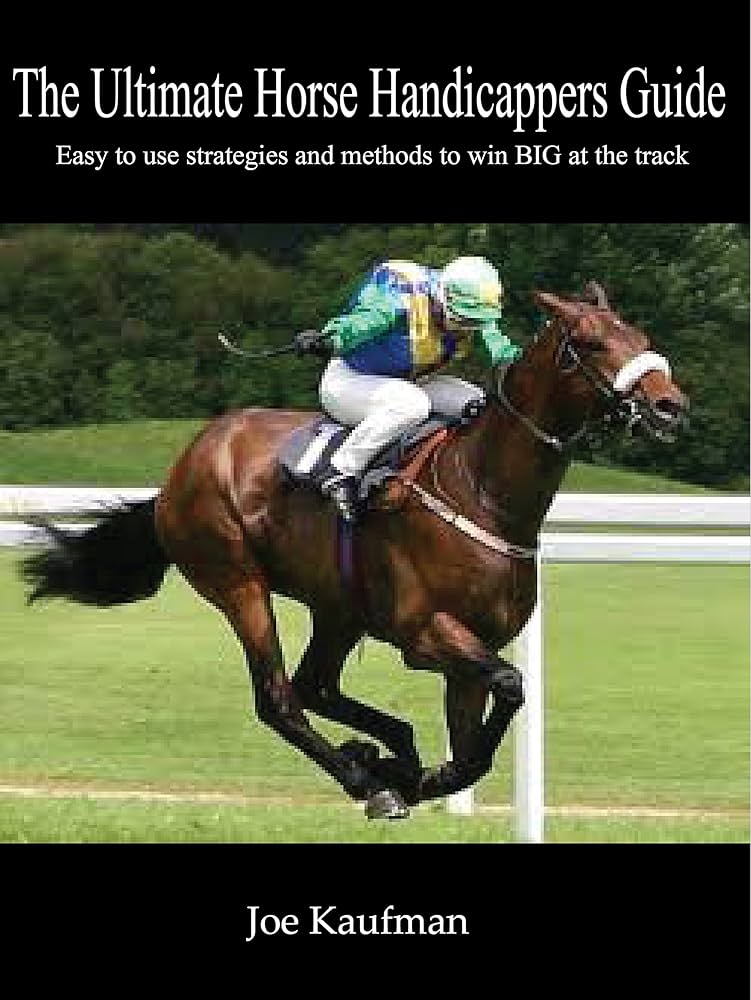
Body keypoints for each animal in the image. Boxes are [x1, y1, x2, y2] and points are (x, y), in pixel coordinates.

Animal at [21, 282, 689, 820]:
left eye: (639, 335)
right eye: (592, 342)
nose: (670, 405)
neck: (483, 490)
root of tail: (179, 471)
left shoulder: (472, 645)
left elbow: (482, 732)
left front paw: (425, 773)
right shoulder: (425, 631)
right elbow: (509, 682)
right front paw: (417, 777)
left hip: (338, 606)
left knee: (315, 686)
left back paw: (386, 755)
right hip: (238, 583)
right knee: (280, 699)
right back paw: (368, 778)